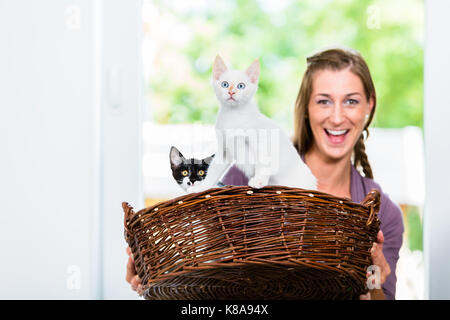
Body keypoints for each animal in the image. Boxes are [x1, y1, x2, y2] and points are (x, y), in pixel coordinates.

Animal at [186, 55, 316, 192]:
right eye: (225, 84)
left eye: (241, 86)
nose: (231, 92)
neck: (234, 115)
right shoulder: (224, 149)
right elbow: (213, 170)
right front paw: (201, 187)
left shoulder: (260, 141)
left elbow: (262, 162)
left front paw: (259, 180)